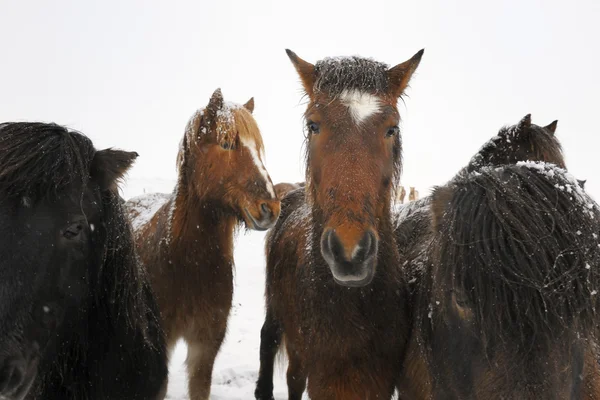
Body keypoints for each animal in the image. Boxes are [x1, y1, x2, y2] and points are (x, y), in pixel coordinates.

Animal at [255, 49, 424, 400]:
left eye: (392, 129)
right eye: (313, 125)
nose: (350, 252)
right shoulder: (326, 383)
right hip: (276, 309)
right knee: (269, 340)